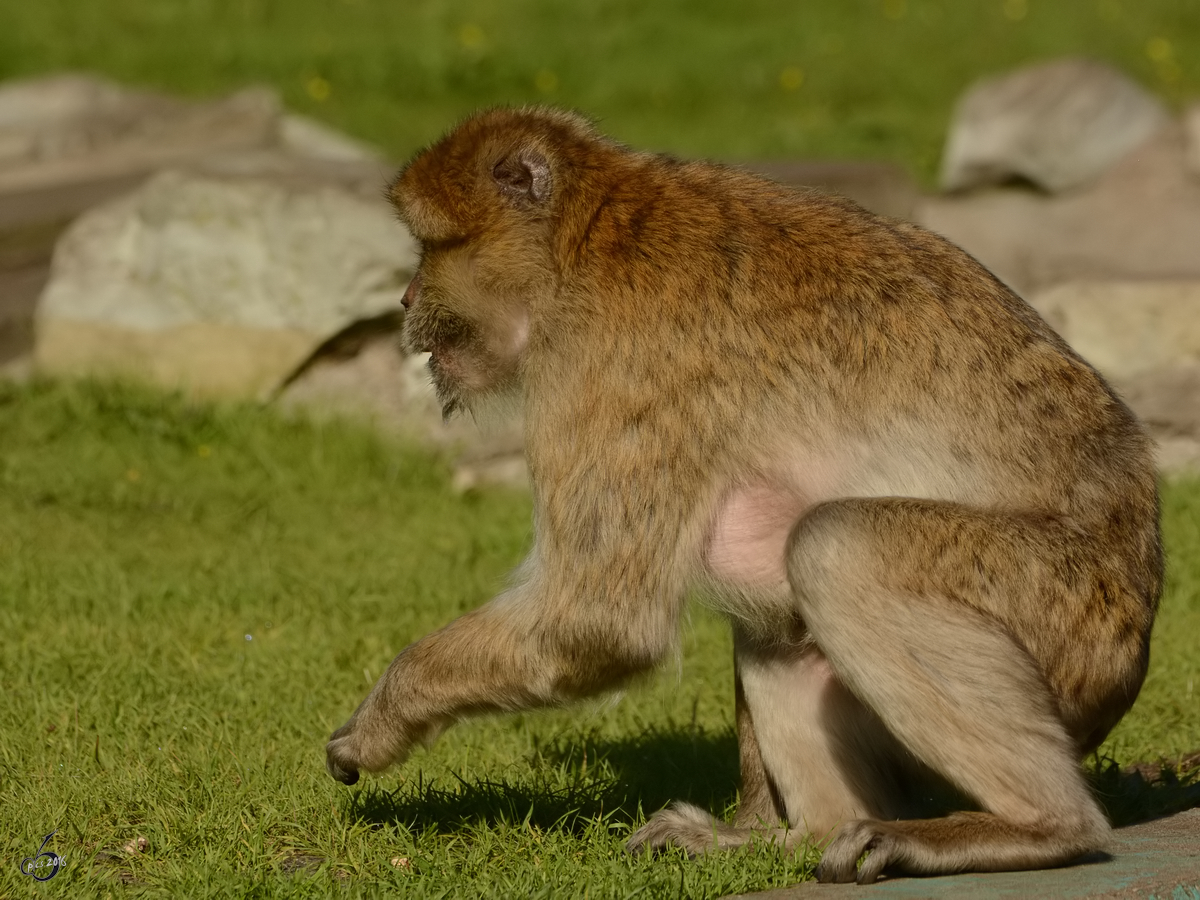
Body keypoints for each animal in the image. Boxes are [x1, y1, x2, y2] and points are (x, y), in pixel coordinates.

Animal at [326, 107, 1161, 888]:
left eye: (431, 247)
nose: (404, 297)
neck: (584, 241)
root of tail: (1136, 640)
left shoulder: (608, 368)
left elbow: (599, 618)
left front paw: (382, 718)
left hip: (1066, 624)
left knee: (833, 547)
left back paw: (1039, 826)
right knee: (776, 605)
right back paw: (794, 834)